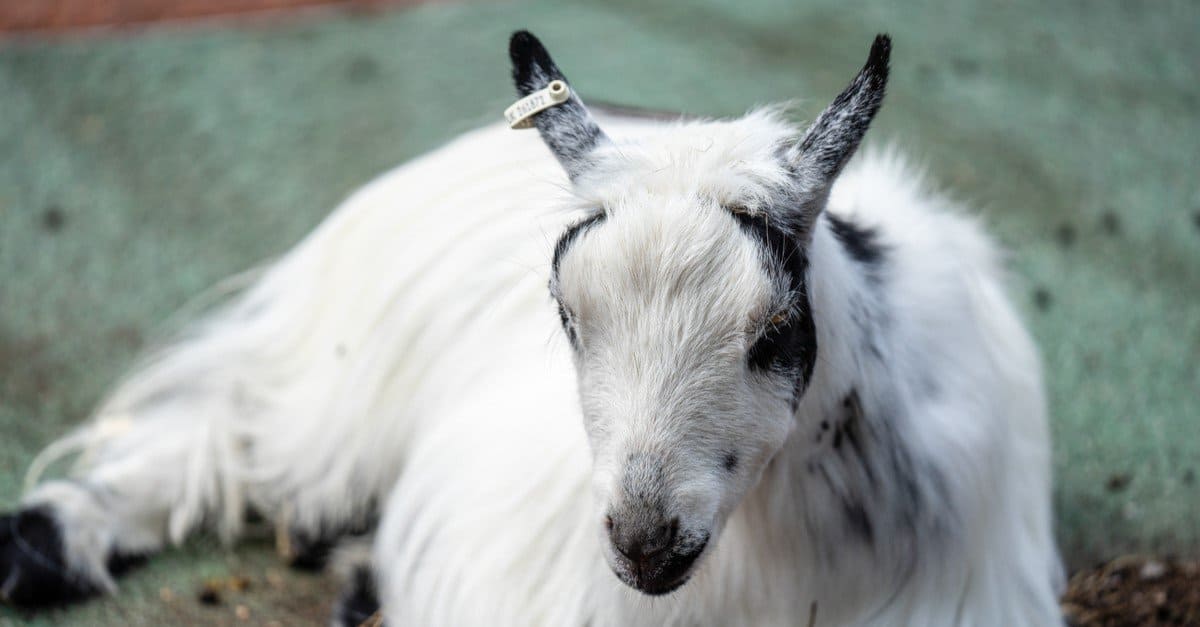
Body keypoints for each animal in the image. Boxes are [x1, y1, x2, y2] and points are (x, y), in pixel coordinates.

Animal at [0, 31, 1064, 626]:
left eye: (776, 330)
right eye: (566, 315)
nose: (645, 541)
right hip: (346, 371)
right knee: (226, 434)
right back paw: (49, 539)